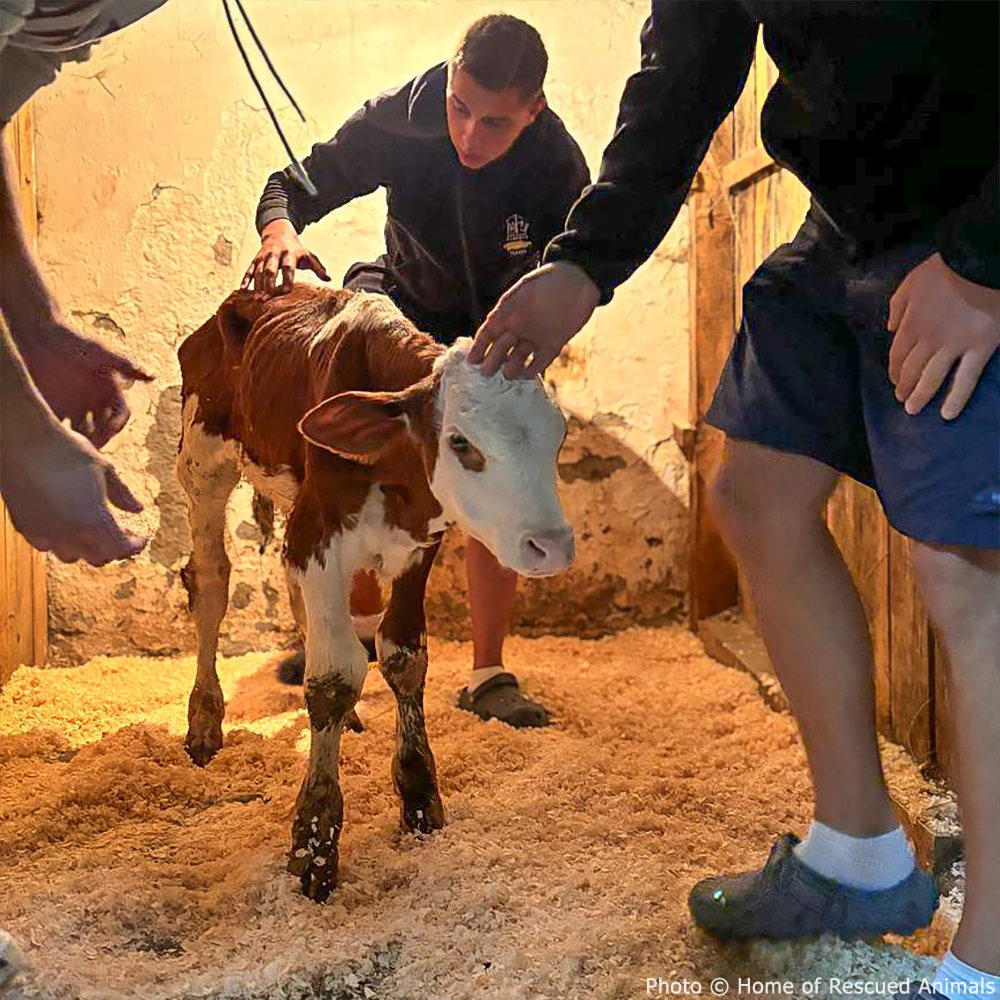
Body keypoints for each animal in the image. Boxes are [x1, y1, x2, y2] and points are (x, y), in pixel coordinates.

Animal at [176, 286, 574, 901]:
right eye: (460, 442)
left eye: (559, 438)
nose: (551, 546)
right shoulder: (317, 528)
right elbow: (334, 676)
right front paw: (314, 843)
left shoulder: (420, 539)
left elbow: (404, 657)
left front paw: (420, 798)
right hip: (202, 461)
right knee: (212, 583)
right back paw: (203, 722)